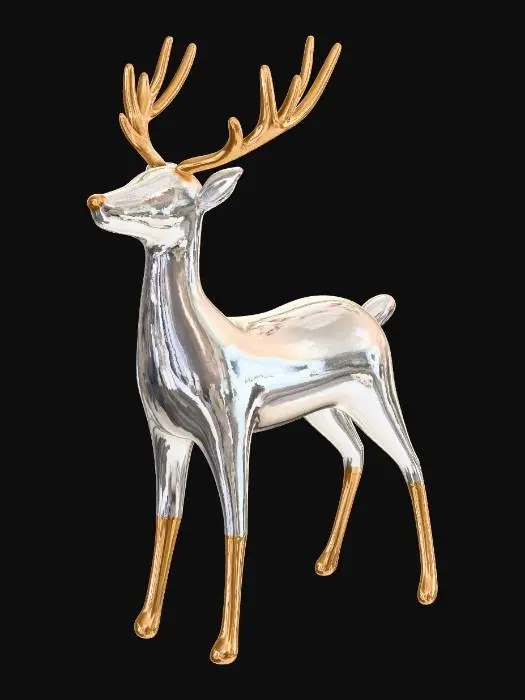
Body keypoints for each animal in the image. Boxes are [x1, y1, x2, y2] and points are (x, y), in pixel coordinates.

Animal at [87, 35, 437, 665]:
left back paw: (426, 588)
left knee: (412, 463)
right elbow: (165, 518)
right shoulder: (163, 431)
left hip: (377, 390)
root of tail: (372, 311)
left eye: (173, 199)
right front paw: (145, 622)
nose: (98, 199)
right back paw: (325, 563)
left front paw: (224, 645)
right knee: (356, 454)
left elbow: (237, 525)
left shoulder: (230, 425)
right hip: (325, 409)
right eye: (139, 173)